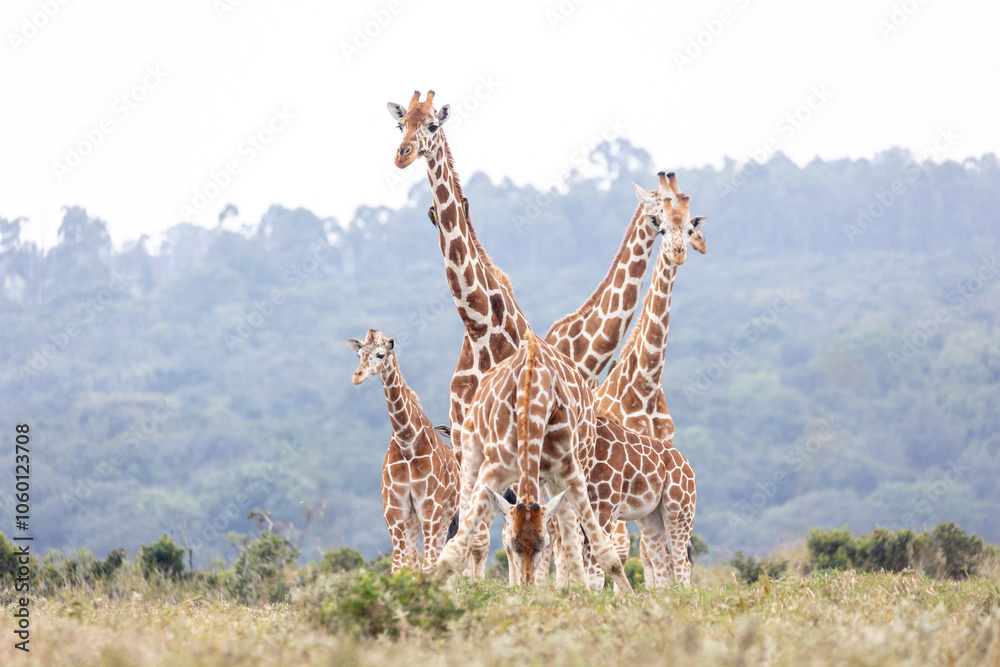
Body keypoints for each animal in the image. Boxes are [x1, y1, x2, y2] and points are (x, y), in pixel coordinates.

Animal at [347, 329, 460, 573]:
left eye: (381, 354)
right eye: (359, 354)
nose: (357, 376)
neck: (407, 441)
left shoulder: (430, 507)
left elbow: (429, 564)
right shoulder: (394, 509)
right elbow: (399, 566)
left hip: (446, 512)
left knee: (438, 555)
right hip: (412, 518)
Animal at [388, 90, 530, 575]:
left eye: (432, 125)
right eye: (400, 125)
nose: (402, 155)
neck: (480, 326)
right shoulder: (465, 439)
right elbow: (471, 538)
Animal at [437, 329, 633, 592]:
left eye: (542, 544)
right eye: (512, 546)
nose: (527, 588)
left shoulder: (569, 470)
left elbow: (601, 550)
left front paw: (623, 595)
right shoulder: (494, 468)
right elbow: (455, 548)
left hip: (569, 469)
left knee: (570, 536)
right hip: (471, 455)